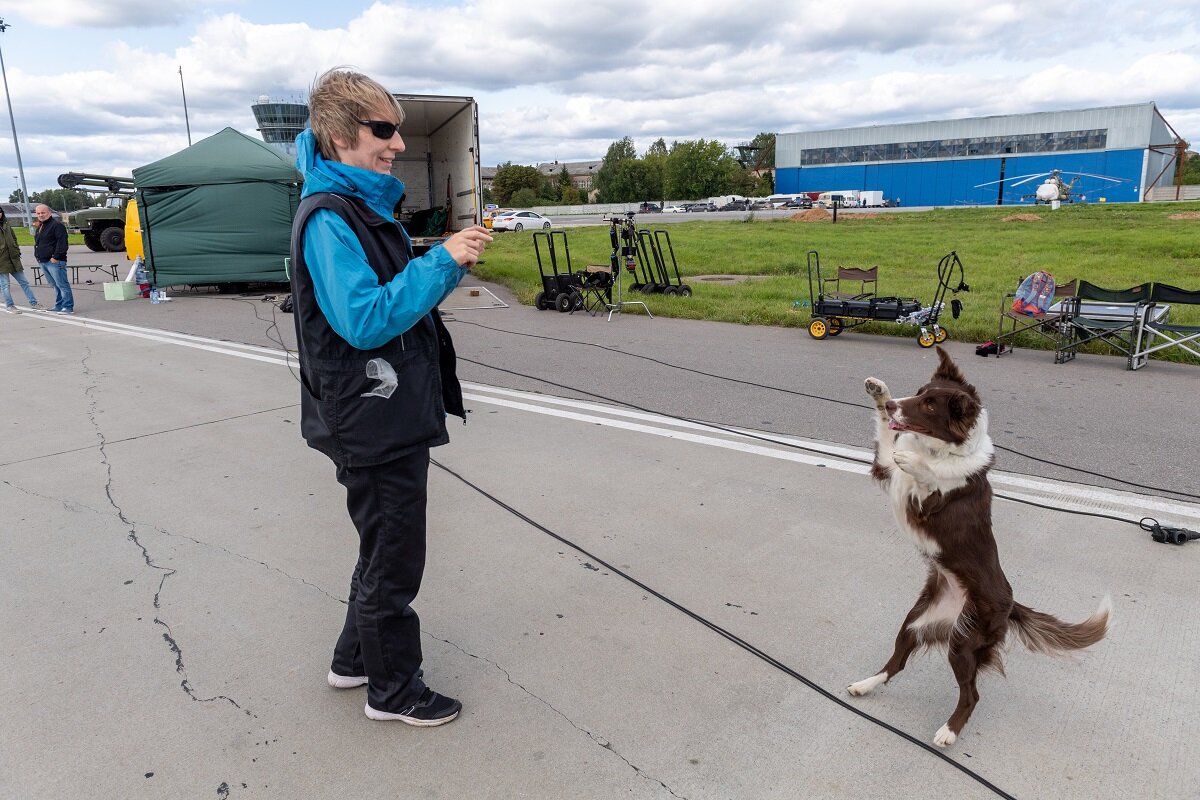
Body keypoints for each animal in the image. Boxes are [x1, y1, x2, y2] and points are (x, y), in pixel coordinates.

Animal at [849, 347, 1108, 748]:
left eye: (929, 405)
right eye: (918, 393)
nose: (894, 405)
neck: (939, 450)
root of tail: (1011, 603)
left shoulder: (928, 506)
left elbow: (927, 475)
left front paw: (917, 462)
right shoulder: (886, 470)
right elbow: (886, 440)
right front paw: (878, 392)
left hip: (964, 643)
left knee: (971, 695)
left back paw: (948, 732)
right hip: (915, 622)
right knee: (897, 663)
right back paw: (865, 684)